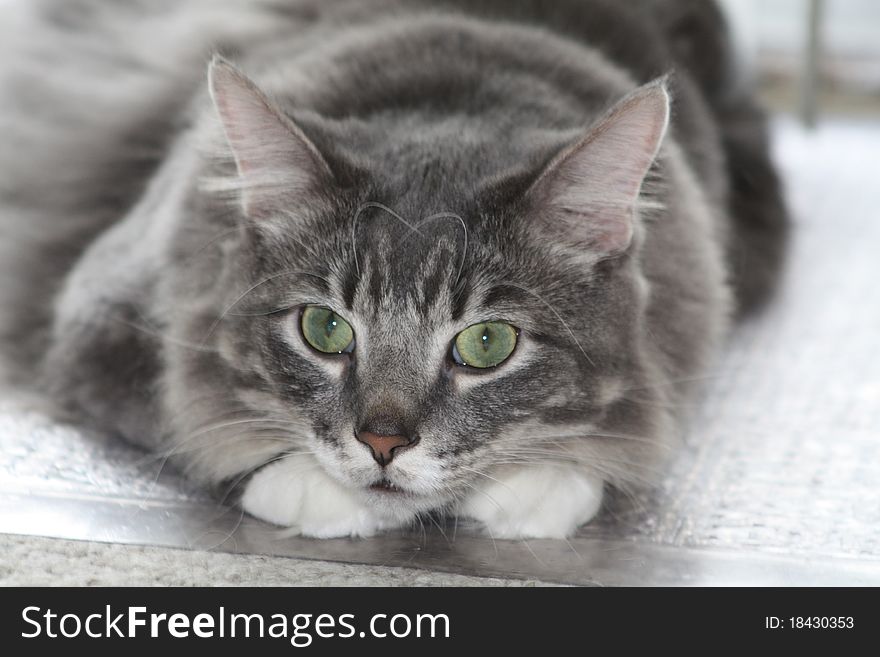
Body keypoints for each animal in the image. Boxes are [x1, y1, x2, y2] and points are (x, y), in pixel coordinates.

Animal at [0, 0, 784, 540]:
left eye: (488, 343)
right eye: (323, 329)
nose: (382, 444)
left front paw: (536, 486)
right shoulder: (101, 309)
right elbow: (186, 415)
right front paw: (310, 489)